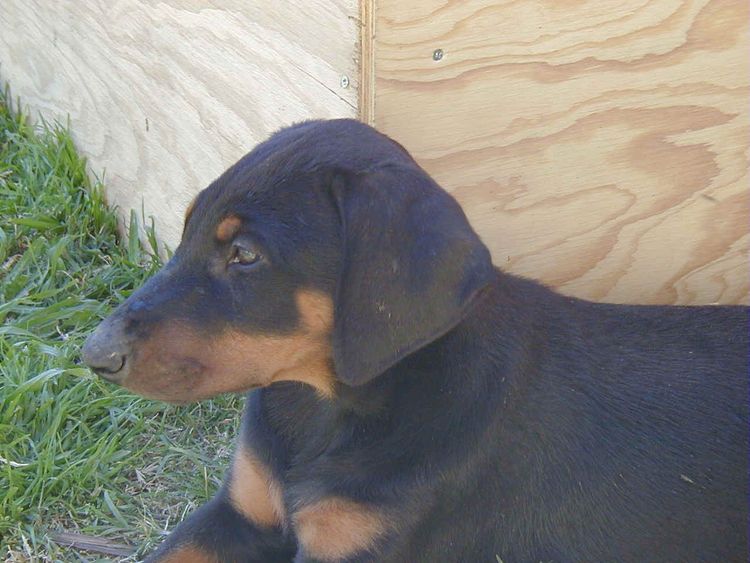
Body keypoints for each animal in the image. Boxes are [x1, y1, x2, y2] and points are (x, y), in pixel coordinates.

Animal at [85, 120, 748, 563]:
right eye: (186, 230)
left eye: (245, 255)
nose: (94, 356)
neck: (326, 408)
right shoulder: (235, 514)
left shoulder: (359, 543)